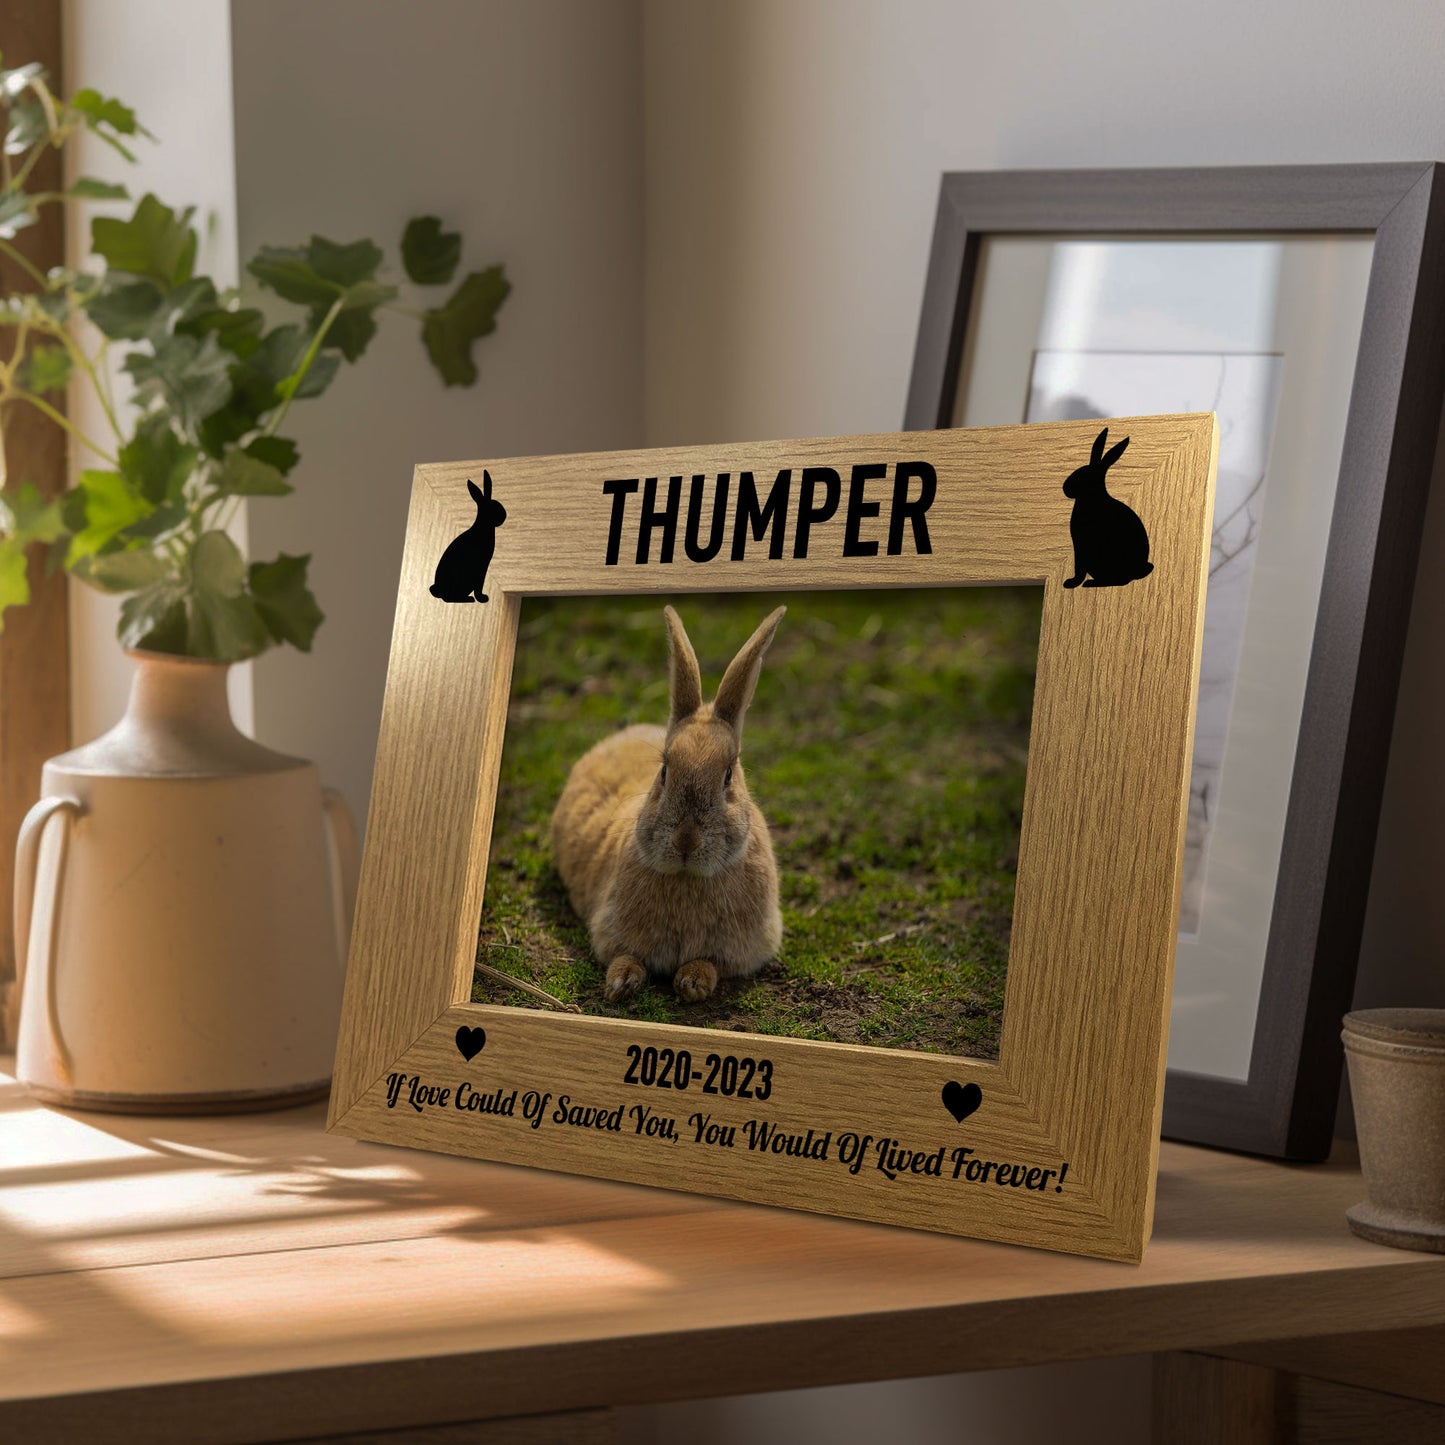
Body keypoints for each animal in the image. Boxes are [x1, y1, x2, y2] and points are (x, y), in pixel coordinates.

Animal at [431, 472, 507, 602]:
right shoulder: (482, 567)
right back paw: (468, 599)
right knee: (448, 598)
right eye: (493, 508)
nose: (504, 516)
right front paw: (482, 598)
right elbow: (479, 585)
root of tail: (439, 590)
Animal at [551, 604, 787, 1003]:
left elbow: (710, 963)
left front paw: (692, 982)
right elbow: (625, 956)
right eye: (664, 771)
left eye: (727, 775)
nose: (685, 841)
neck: (688, 877)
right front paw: (621, 983)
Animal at [1061, 427, 1153, 588]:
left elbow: (1079, 568)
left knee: (1120, 581)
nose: (1065, 488)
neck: (1092, 497)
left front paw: (1071, 583)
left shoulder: (1081, 548)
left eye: (1084, 476)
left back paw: (1092, 583)